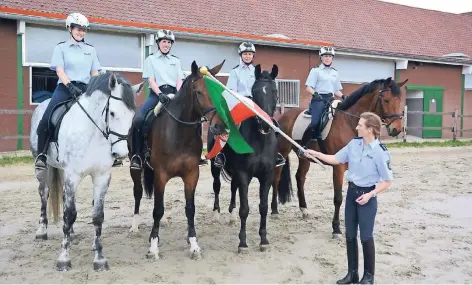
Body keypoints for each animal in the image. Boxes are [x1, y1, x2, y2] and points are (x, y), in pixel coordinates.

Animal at [29, 71, 144, 270]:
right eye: (112, 113)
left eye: (132, 115)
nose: (121, 154)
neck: (94, 133)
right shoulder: (73, 175)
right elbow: (69, 214)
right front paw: (64, 259)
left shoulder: (101, 176)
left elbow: (97, 215)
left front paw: (99, 258)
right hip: (44, 169)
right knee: (44, 193)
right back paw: (42, 231)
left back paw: (73, 235)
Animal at [127, 60, 225, 260]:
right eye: (199, 92)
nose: (219, 126)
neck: (179, 131)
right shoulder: (161, 175)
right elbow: (157, 210)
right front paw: (153, 247)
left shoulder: (191, 174)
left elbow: (190, 209)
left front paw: (193, 245)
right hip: (135, 169)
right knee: (138, 193)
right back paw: (134, 226)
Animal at [207, 63, 280, 251]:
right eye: (255, 91)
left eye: (274, 91)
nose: (264, 124)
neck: (259, 140)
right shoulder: (243, 174)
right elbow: (245, 209)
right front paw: (242, 242)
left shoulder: (267, 175)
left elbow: (263, 207)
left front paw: (263, 240)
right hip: (215, 167)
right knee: (217, 186)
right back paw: (216, 214)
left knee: (234, 188)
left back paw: (231, 216)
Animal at [272, 76, 408, 237]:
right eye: (386, 100)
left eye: (400, 101)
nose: (397, 129)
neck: (349, 123)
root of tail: (283, 115)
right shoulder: (339, 167)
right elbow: (338, 198)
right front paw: (336, 228)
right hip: (283, 151)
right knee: (276, 178)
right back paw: (274, 210)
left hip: (304, 157)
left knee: (300, 178)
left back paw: (304, 209)